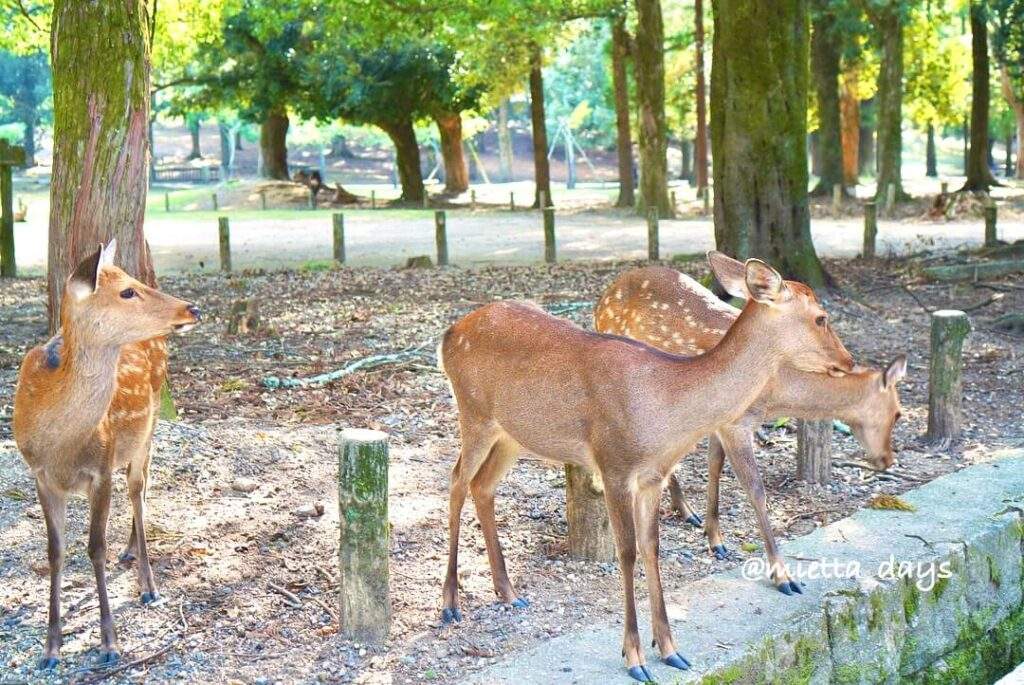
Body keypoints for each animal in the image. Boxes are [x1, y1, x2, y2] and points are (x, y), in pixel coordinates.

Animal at [13, 241, 201, 667]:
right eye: (127, 291)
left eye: (134, 282)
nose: (191, 308)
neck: (61, 445)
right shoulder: (40, 476)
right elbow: (56, 552)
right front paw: (51, 648)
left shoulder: (100, 470)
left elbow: (95, 548)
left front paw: (109, 643)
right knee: (140, 487)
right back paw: (130, 553)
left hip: (149, 422)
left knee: (138, 488)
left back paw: (147, 583)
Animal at [436, 254, 851, 679]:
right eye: (821, 317)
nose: (848, 361)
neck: (664, 412)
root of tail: (448, 335)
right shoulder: (614, 465)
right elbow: (628, 552)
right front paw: (633, 657)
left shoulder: (653, 477)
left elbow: (652, 548)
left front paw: (669, 648)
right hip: (473, 412)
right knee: (455, 482)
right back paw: (450, 604)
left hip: (513, 434)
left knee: (482, 486)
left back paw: (509, 592)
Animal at [593, 253, 905, 589]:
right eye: (821, 318)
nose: (888, 459)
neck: (776, 394)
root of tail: (604, 295)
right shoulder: (734, 424)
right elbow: (755, 489)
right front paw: (783, 576)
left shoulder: (720, 421)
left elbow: (714, 465)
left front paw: (715, 539)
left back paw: (686, 510)